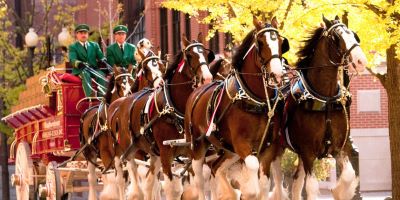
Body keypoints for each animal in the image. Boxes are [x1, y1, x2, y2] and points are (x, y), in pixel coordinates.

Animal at [114, 33, 216, 199]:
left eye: (207, 55)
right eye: (189, 55)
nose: (207, 78)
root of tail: (123, 102)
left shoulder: (192, 151)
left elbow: (197, 184)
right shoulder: (166, 153)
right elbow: (171, 189)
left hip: (154, 154)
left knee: (149, 184)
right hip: (131, 153)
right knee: (133, 185)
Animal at [186, 16, 286, 200]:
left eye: (281, 42)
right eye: (261, 42)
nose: (277, 74)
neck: (257, 100)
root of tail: (198, 89)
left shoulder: (268, 147)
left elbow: (263, 184)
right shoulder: (241, 143)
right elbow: (252, 169)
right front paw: (248, 191)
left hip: (227, 149)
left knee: (216, 168)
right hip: (197, 146)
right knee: (200, 179)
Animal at [276, 16, 366, 200]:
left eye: (354, 35)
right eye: (337, 37)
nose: (361, 60)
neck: (326, 100)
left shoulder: (339, 147)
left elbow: (348, 175)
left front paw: (338, 191)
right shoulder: (308, 152)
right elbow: (311, 187)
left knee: (296, 182)